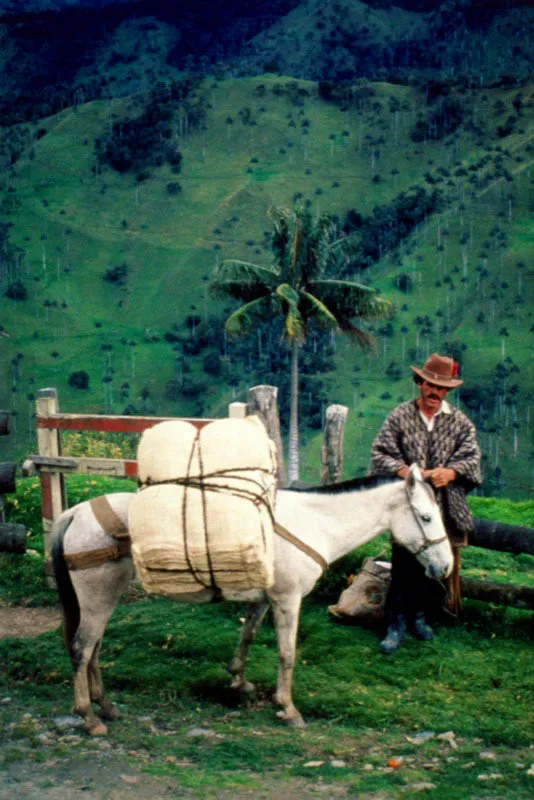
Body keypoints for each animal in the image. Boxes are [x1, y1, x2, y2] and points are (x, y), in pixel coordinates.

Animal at [52, 466, 452, 736]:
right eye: (426, 517)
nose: (445, 566)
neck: (312, 522)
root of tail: (77, 512)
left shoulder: (261, 598)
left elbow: (247, 635)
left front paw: (239, 681)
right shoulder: (287, 600)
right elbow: (287, 653)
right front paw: (287, 708)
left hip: (102, 600)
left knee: (93, 649)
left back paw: (106, 706)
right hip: (98, 598)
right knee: (82, 649)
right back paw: (88, 716)